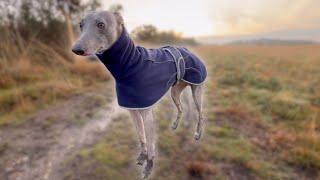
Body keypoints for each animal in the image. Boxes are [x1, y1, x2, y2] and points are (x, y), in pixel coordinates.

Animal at [72, 11, 205, 179]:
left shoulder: (146, 112)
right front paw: (142, 156)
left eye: (101, 24)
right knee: (182, 108)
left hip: (196, 91)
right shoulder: (133, 109)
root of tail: (188, 50)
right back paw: (177, 125)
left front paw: (149, 166)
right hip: (176, 91)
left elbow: (150, 141)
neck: (130, 65)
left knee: (201, 114)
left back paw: (197, 133)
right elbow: (141, 136)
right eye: (80, 25)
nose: (76, 49)